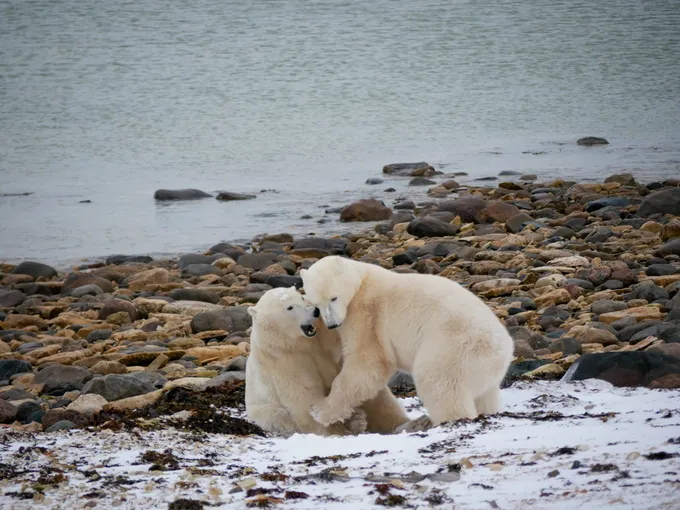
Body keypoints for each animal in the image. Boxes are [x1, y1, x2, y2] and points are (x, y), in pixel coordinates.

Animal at [245, 287, 409, 436]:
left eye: (301, 297)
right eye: (289, 307)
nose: (315, 311)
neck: (299, 342)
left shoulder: (322, 337)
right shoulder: (283, 359)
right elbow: (304, 392)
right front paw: (333, 430)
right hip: (264, 409)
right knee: (280, 417)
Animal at [300, 255, 514, 428]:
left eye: (333, 298)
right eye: (316, 304)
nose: (332, 324)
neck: (361, 281)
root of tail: (502, 350)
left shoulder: (367, 316)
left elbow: (368, 365)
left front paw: (319, 410)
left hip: (453, 345)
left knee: (439, 382)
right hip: (483, 370)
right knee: (484, 396)